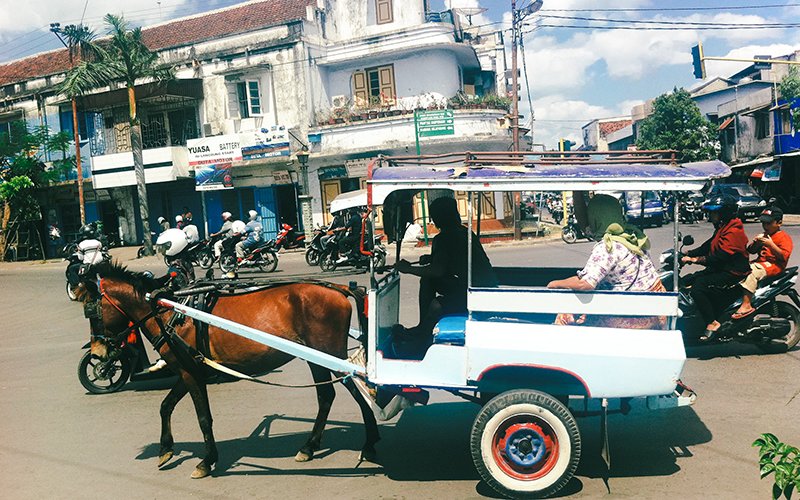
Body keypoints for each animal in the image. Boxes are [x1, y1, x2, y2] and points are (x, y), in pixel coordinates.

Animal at [79, 260, 380, 478]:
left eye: (91, 310)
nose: (98, 353)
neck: (169, 312)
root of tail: (338, 289)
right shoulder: (188, 370)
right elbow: (166, 406)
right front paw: (166, 448)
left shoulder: (191, 375)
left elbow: (203, 418)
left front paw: (206, 461)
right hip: (316, 359)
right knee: (326, 396)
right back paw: (310, 446)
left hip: (332, 358)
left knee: (359, 393)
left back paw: (369, 445)